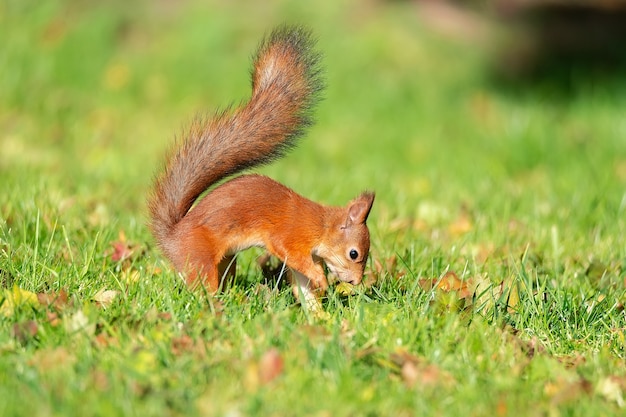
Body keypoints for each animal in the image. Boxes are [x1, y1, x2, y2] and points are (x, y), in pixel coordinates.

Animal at [147, 26, 370, 310]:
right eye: (354, 253)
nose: (355, 282)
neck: (320, 226)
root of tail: (171, 238)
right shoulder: (290, 236)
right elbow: (290, 254)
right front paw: (322, 282)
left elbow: (302, 284)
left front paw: (319, 313)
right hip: (201, 260)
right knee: (201, 289)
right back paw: (217, 306)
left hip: (226, 262)